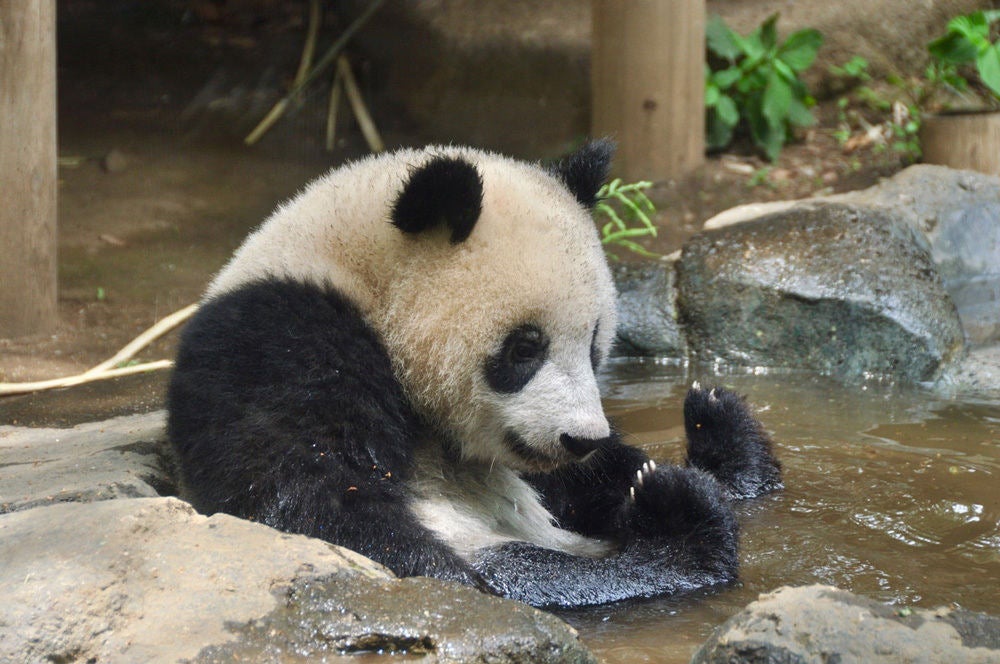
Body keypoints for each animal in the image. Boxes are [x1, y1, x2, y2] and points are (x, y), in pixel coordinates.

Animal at [166, 141, 780, 608]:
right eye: (525, 347)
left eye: (594, 343)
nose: (581, 438)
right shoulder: (278, 343)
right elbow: (314, 500)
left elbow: (595, 477)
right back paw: (681, 529)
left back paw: (717, 435)